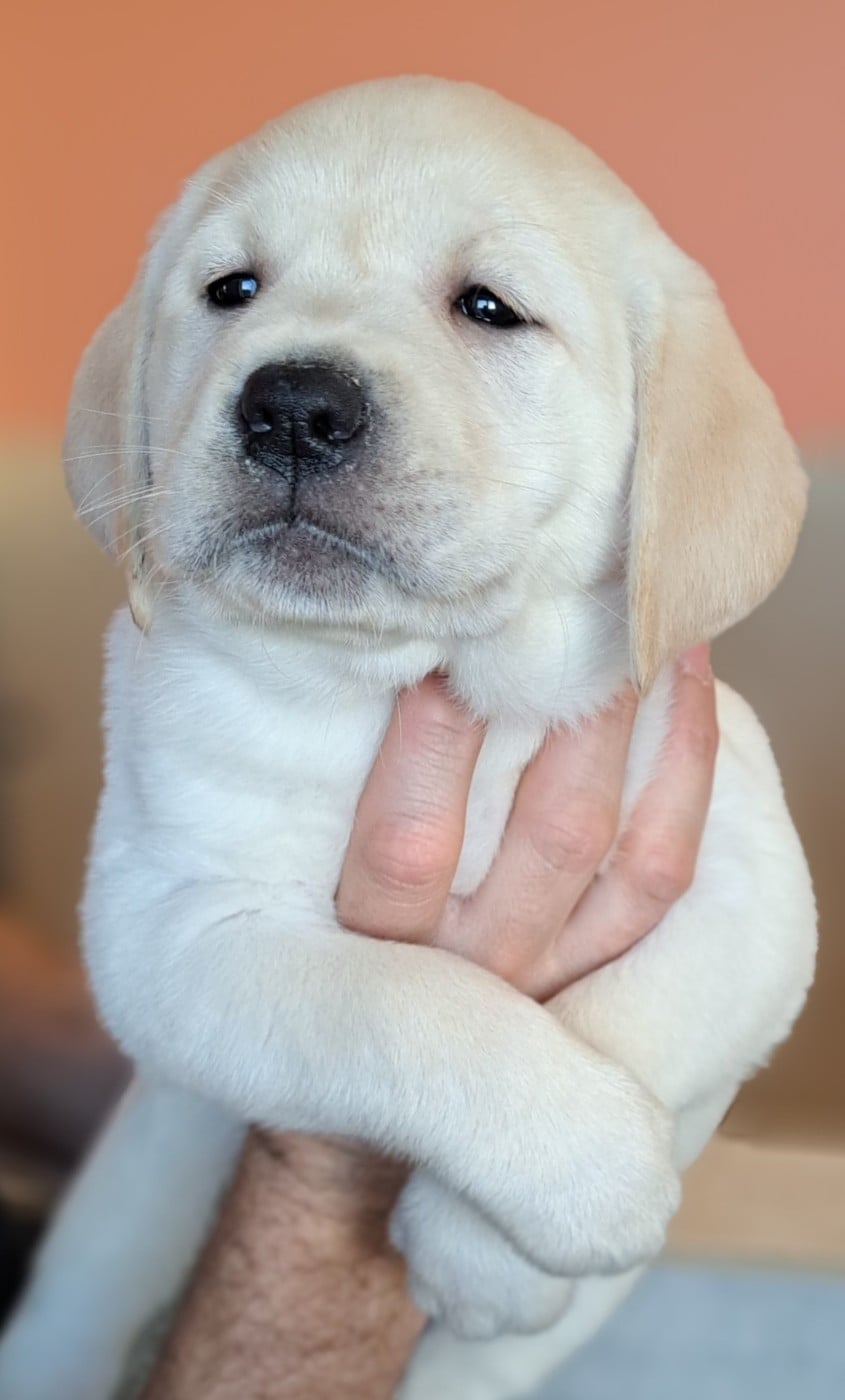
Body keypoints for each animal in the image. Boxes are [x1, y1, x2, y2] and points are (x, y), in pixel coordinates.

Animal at [0, 77, 815, 1400]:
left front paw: (486, 1248)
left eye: (488, 308)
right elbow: (405, 1004)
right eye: (232, 288)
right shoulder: (172, 935)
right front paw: (588, 1169)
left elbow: (646, 1006)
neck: (399, 671)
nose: (292, 403)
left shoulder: (737, 866)